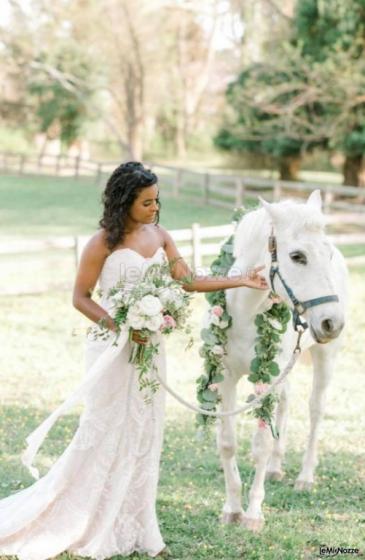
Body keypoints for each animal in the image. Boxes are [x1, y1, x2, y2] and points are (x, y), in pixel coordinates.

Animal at [216, 190, 346, 532]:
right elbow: (228, 443)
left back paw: (305, 477)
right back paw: (276, 468)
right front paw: (231, 508)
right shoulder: (226, 377)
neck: (245, 312)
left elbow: (259, 446)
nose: (332, 323)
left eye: (326, 254)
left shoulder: (265, 381)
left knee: (316, 411)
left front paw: (252, 514)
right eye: (297, 256)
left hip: (325, 359)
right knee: (286, 403)